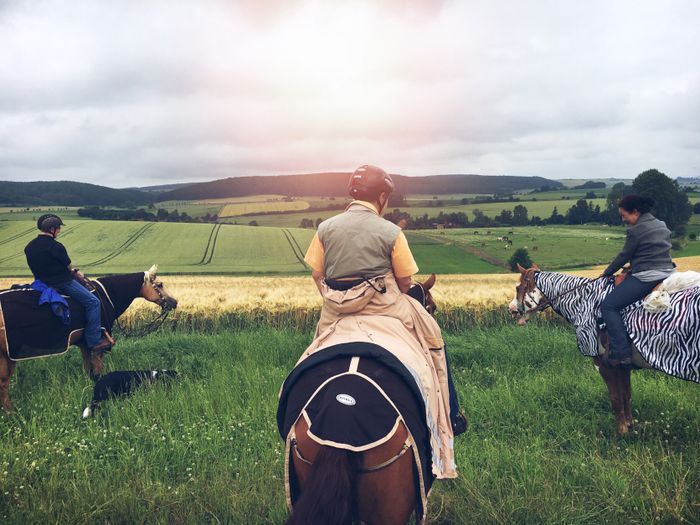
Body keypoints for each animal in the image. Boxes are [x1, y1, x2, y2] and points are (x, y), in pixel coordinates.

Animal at [0, 266, 178, 414]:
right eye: (160, 284)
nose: (175, 302)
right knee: (4, 385)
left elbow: (88, 370)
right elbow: (97, 372)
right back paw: (12, 414)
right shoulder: (98, 346)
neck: (106, 296)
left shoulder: (84, 345)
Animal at [508, 266, 700, 434]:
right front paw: (629, 426)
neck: (585, 302)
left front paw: (621, 432)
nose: (511, 310)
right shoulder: (622, 366)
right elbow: (626, 396)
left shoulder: (603, 364)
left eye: (518, 287)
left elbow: (615, 398)